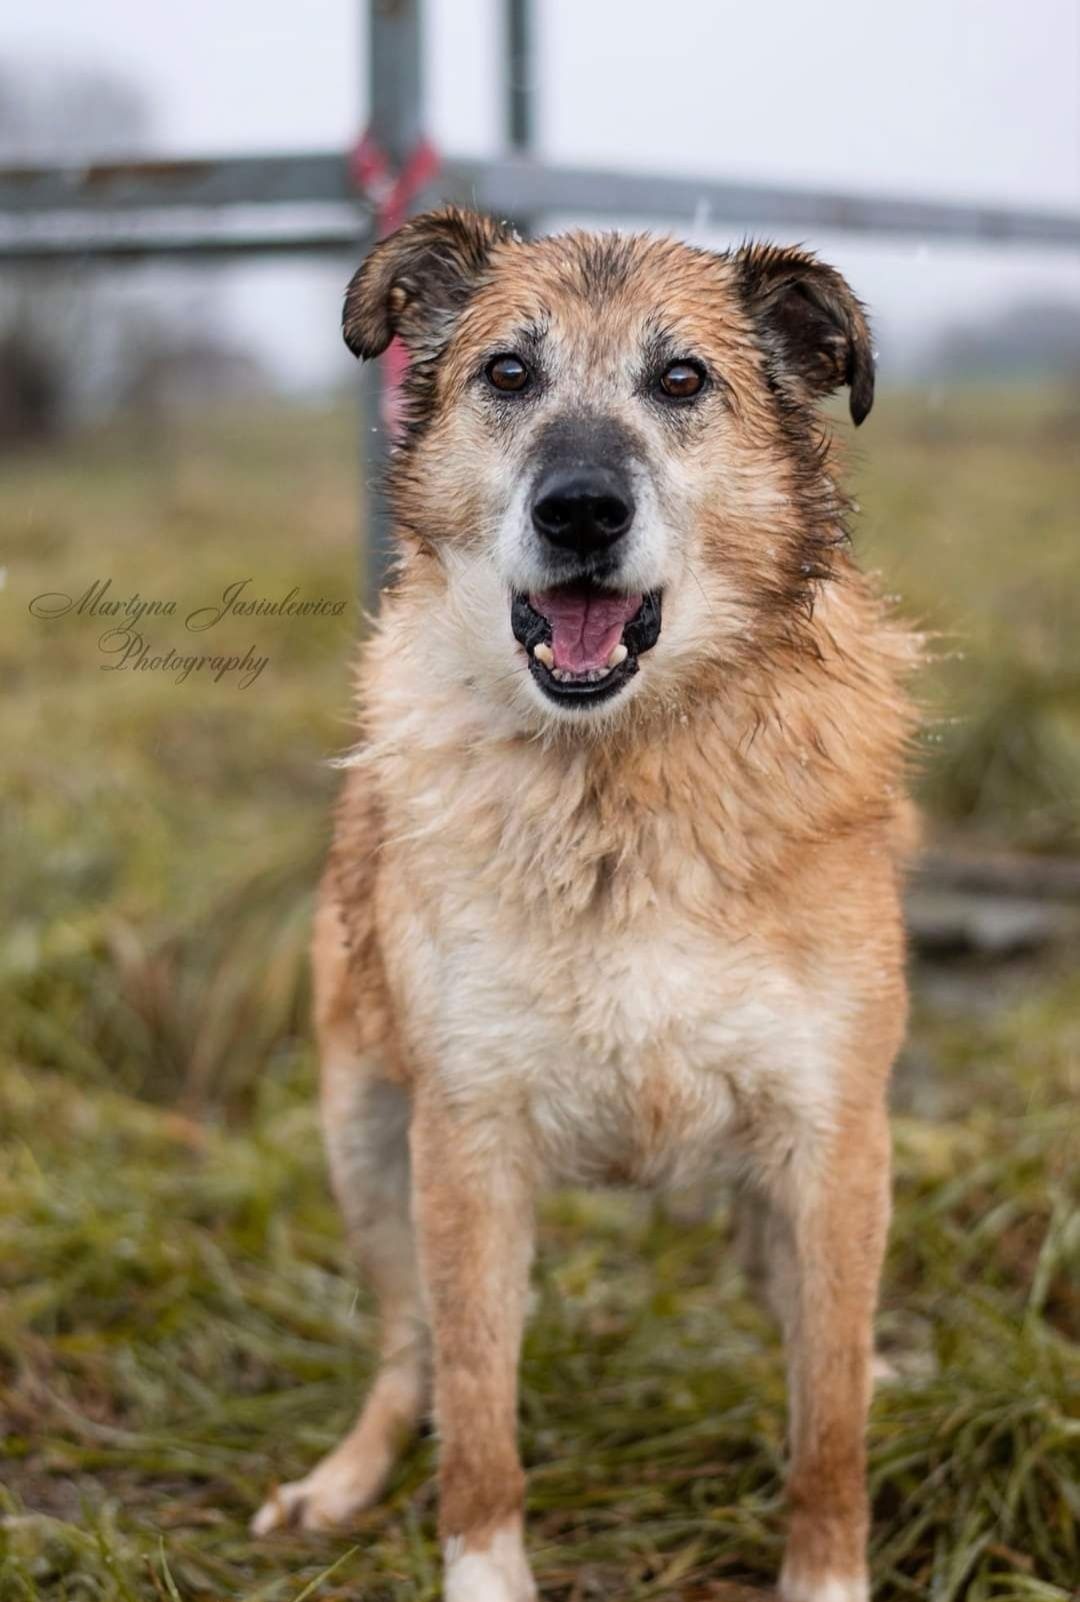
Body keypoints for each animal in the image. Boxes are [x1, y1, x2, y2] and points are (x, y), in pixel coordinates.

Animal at [253, 213, 916, 1602]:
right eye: (508, 373)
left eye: (682, 380)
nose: (580, 512)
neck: (621, 779)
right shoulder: (467, 1142)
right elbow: (478, 1419)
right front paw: (485, 1571)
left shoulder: (831, 1135)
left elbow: (827, 1418)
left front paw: (825, 1563)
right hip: (360, 1137)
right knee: (408, 1356)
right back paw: (342, 1480)